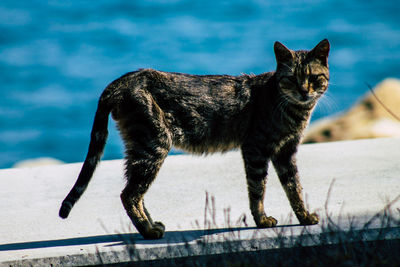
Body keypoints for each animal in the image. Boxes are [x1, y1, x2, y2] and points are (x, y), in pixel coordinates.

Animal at [58, 39, 328, 241]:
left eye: (314, 77)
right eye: (291, 79)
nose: (304, 91)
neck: (293, 110)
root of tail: (122, 81)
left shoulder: (286, 151)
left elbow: (294, 187)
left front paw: (304, 217)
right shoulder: (256, 148)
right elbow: (258, 189)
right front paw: (261, 221)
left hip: (141, 147)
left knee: (135, 192)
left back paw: (152, 224)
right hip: (153, 145)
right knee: (130, 194)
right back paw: (148, 231)